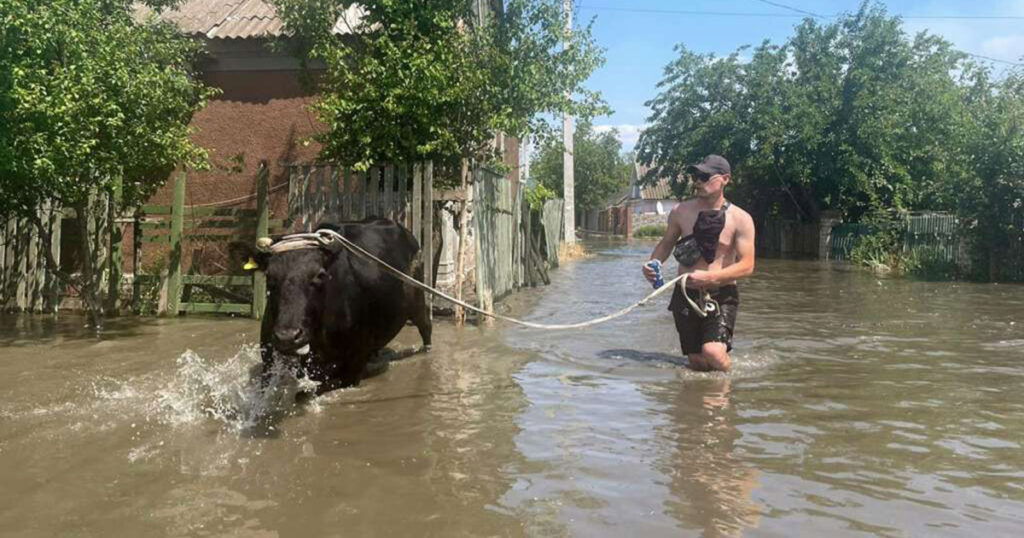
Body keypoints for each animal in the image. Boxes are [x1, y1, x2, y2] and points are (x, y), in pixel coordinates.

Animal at [260, 216, 432, 391]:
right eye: (269, 275)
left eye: (320, 275)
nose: (287, 337)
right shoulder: (268, 362)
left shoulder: (353, 365)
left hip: (417, 302)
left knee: (426, 326)